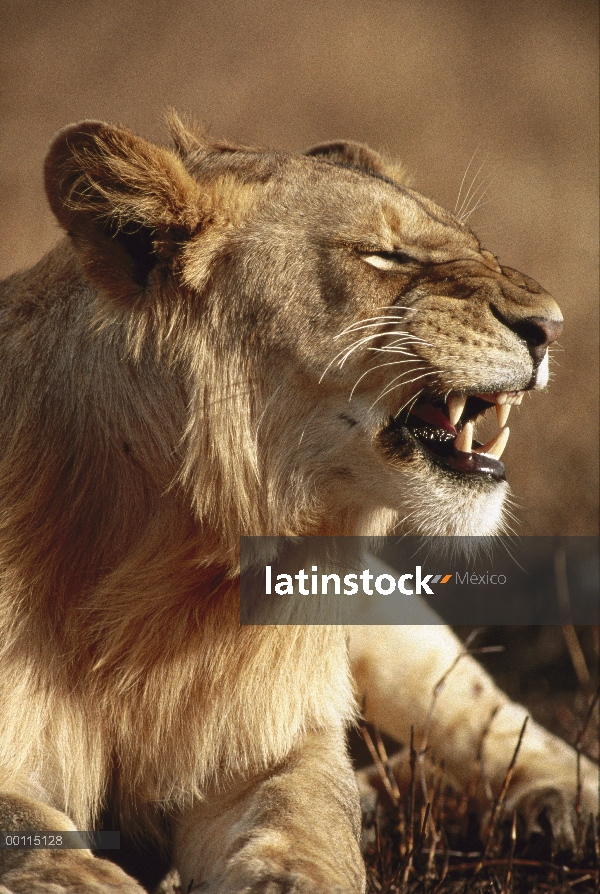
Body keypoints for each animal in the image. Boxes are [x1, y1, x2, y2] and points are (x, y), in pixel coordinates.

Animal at [0, 119, 596, 894]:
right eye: (385, 254)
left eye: (478, 247)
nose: (552, 327)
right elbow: (25, 825)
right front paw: (88, 878)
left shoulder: (264, 743)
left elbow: (305, 821)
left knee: (487, 716)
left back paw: (565, 802)